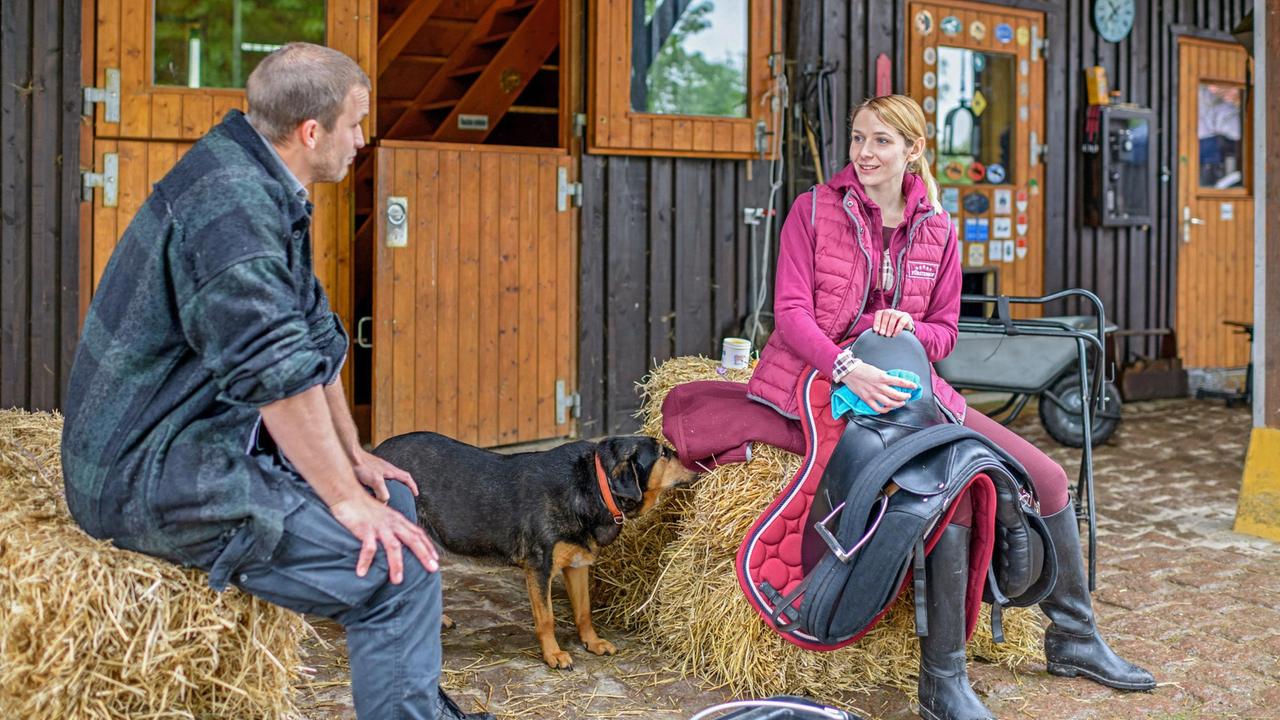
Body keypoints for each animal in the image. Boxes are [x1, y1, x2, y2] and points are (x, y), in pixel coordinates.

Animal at [371, 425, 701, 666]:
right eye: (663, 453)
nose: (697, 462)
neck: (595, 483)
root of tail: (374, 454)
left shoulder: (577, 565)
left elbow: (584, 612)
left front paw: (592, 642)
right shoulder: (539, 568)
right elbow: (547, 618)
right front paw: (553, 655)